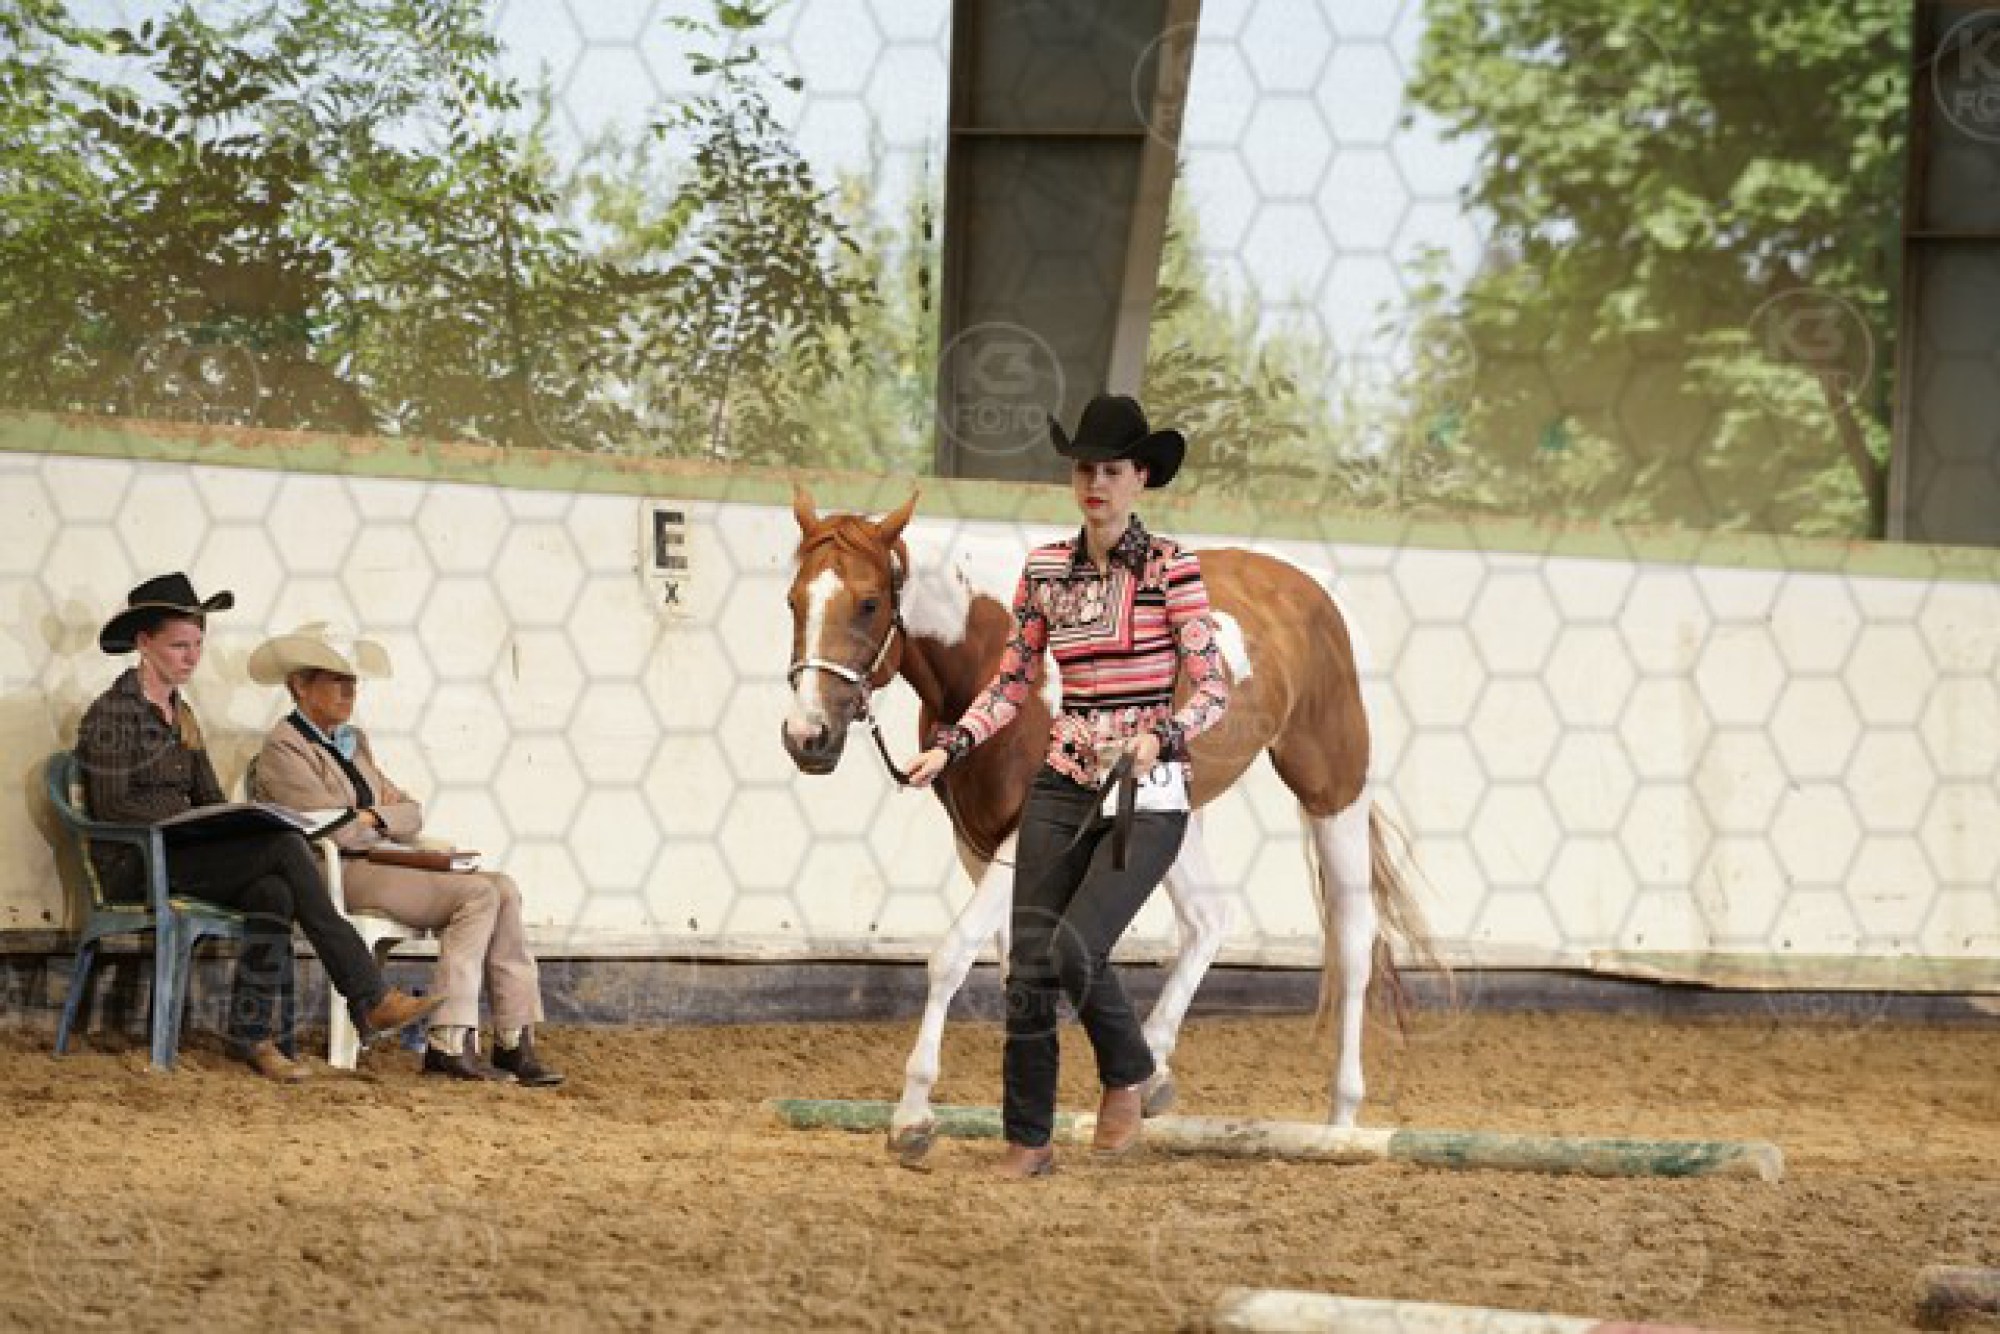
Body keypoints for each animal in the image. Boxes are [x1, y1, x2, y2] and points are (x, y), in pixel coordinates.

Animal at [780, 485, 1430, 1163]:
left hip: (1336, 790)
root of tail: (1316, 590)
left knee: (1353, 940)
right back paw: (1153, 1078)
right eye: (793, 600)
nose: (807, 737)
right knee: (1209, 921)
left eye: (869, 603)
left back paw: (1341, 1120)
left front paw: (912, 1117)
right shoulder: (977, 843)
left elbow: (951, 956)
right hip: (1174, 814)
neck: (986, 653)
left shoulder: (1018, 837)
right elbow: (1015, 965)